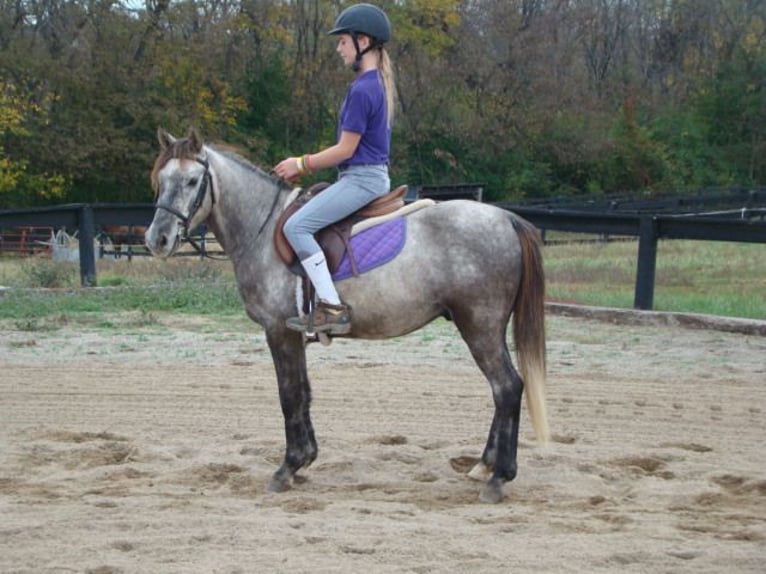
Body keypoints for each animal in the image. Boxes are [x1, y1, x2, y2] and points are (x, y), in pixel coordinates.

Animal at [146, 129, 552, 504]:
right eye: (161, 180)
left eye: (192, 181)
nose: (157, 240)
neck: (262, 229)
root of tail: (508, 219)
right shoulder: (295, 333)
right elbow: (304, 392)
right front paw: (305, 459)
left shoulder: (279, 331)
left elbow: (289, 394)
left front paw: (287, 468)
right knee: (503, 390)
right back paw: (484, 465)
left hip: (480, 327)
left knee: (507, 387)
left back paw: (498, 477)